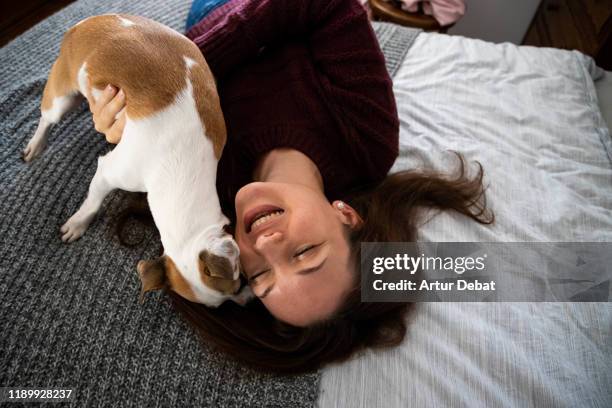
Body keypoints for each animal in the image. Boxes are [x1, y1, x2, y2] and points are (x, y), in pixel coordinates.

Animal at [21, 13, 251, 306]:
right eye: (238, 282)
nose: (249, 301)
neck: (182, 170)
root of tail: (82, 24)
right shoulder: (108, 173)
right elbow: (93, 203)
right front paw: (78, 223)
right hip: (61, 97)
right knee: (47, 120)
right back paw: (36, 145)